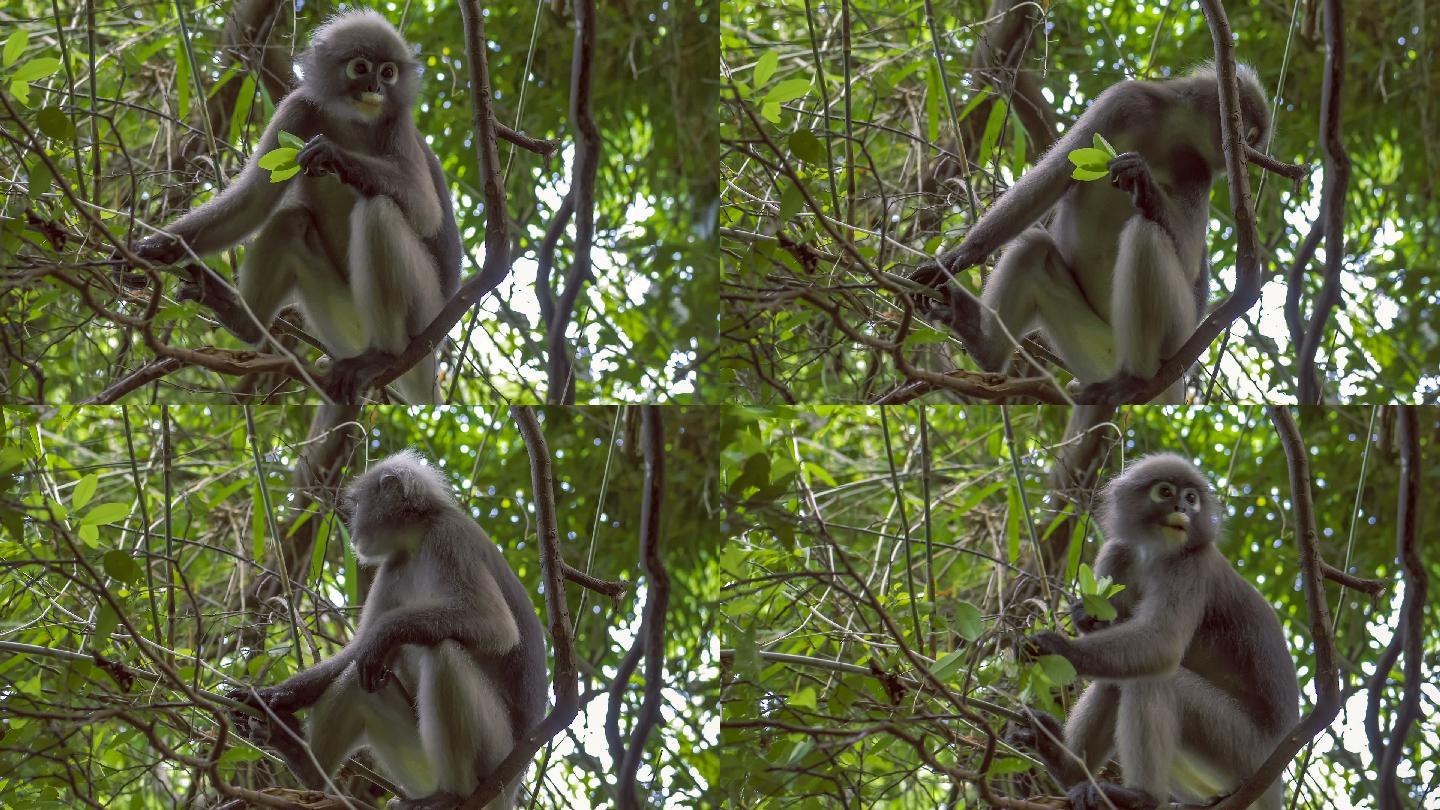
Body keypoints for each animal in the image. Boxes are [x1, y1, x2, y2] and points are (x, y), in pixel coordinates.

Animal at [128, 11, 457, 400]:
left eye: (388, 72)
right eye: (361, 67)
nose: (376, 88)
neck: (351, 119)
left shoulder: (398, 121)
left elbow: (426, 210)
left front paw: (334, 155)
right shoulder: (297, 107)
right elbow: (253, 200)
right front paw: (156, 248)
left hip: (422, 314)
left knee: (380, 211)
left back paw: (380, 357)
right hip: (345, 322)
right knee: (290, 219)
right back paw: (241, 320)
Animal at [227, 446, 547, 807]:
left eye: (357, 505)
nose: (352, 527)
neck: (418, 542)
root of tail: (513, 786)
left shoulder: (448, 538)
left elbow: (497, 626)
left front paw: (385, 634)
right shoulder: (394, 564)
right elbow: (356, 651)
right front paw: (269, 697)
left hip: (494, 756)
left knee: (443, 651)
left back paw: (450, 796)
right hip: (422, 764)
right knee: (360, 680)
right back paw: (302, 762)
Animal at [910, 64, 1272, 400]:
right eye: (1247, 133)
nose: (1244, 151)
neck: (1174, 130)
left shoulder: (1198, 173)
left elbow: (1191, 261)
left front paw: (1144, 183)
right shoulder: (1124, 101)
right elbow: (1054, 175)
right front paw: (957, 257)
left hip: (1176, 338)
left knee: (1145, 234)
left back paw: (1133, 380)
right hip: (1096, 352)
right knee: (1034, 248)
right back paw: (983, 345)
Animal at [1008, 455, 1301, 807]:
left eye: (1191, 498)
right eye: (1165, 492)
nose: (1182, 508)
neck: (1154, 553)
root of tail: (1275, 777)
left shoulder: (1191, 565)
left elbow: (1162, 645)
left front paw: (1056, 647)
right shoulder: (1117, 552)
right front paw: (1085, 619)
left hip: (1242, 749)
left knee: (1155, 678)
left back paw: (1139, 796)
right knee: (1117, 677)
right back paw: (1066, 766)